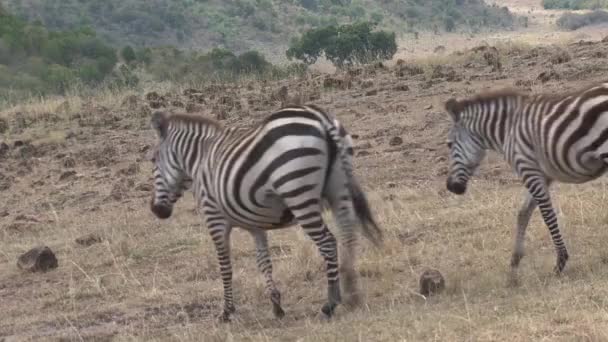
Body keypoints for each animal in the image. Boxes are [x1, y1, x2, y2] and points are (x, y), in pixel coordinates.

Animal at [146, 105, 380, 322]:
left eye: (153, 160)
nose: (156, 210)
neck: (200, 161)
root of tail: (320, 117)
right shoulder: (255, 225)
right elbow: (263, 261)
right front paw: (276, 306)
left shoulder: (214, 218)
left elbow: (225, 266)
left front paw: (227, 311)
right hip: (339, 188)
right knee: (348, 235)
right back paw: (352, 294)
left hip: (298, 193)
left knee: (328, 242)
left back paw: (330, 304)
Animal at [444, 82, 608, 278]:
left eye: (449, 145)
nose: (450, 187)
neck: (507, 130)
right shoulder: (542, 174)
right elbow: (523, 213)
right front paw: (515, 261)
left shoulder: (527, 169)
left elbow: (547, 215)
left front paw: (560, 261)